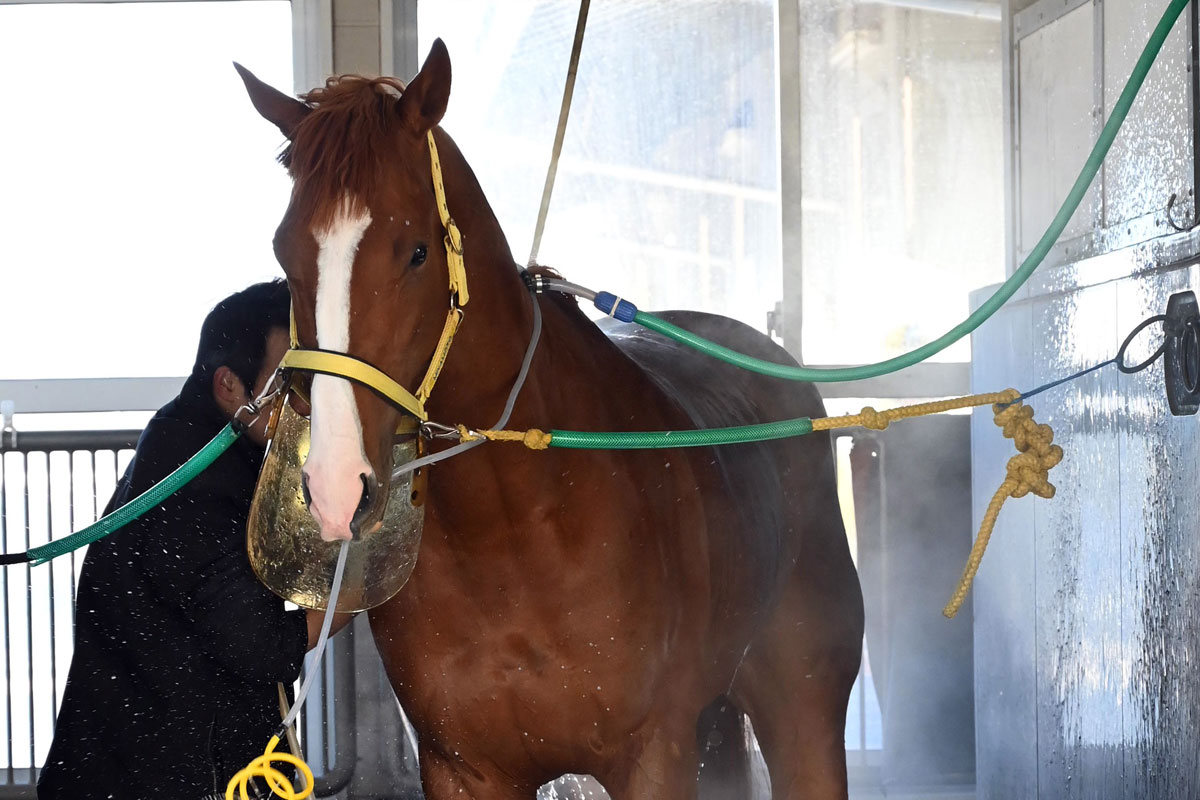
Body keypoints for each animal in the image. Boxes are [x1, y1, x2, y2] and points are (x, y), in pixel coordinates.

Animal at [236, 39, 864, 799]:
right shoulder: (462, 769)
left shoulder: (654, 754)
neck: (518, 528)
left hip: (803, 709)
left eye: (416, 251)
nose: (334, 486)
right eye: (284, 252)